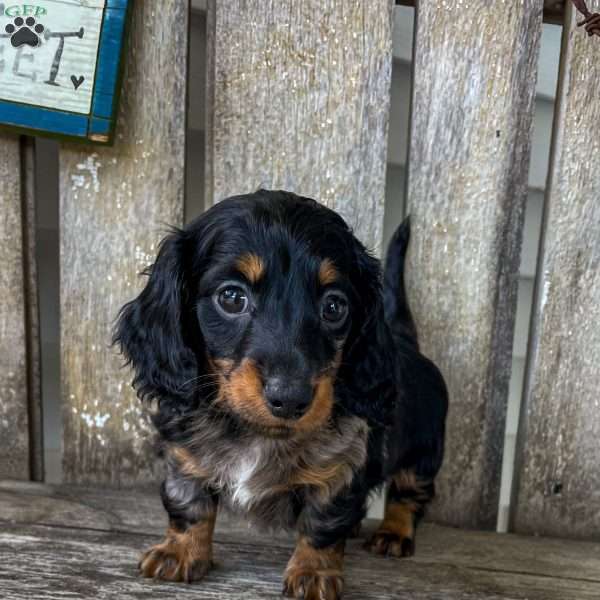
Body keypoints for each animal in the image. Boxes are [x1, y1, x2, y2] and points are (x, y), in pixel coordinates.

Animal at [115, 190, 448, 596]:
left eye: (334, 306)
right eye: (231, 297)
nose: (290, 398)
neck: (258, 434)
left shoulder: (343, 464)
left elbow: (323, 522)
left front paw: (314, 572)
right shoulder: (185, 453)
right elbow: (188, 503)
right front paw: (179, 551)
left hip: (423, 455)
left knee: (408, 495)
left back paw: (394, 531)